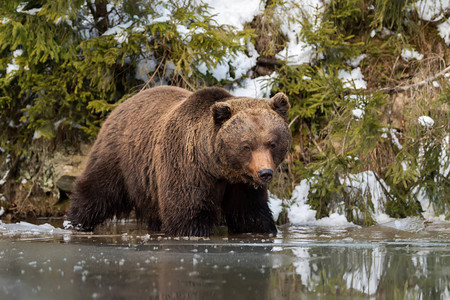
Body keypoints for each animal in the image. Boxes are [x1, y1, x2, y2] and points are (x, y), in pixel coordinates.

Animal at [67, 86, 292, 237]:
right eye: (246, 145)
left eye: (272, 143)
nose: (265, 173)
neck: (216, 167)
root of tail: (121, 105)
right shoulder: (186, 167)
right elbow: (187, 214)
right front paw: (194, 231)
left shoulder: (241, 185)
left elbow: (250, 215)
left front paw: (263, 230)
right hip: (120, 158)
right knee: (97, 190)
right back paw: (75, 223)